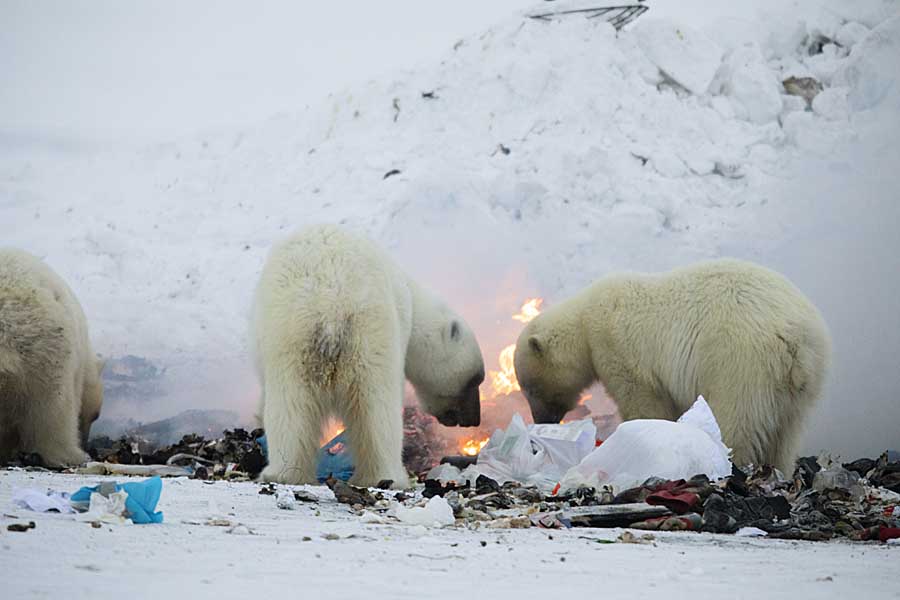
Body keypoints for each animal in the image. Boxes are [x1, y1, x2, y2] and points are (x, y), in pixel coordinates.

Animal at [250, 225, 488, 488]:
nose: (473, 419)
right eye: (475, 380)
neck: (410, 295)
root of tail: (330, 308)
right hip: (361, 335)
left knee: (294, 404)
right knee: (375, 408)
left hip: (299, 341)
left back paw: (287, 473)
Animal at [512, 260, 828, 472]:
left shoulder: (617, 347)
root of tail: (796, 339)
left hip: (740, 360)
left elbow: (644, 402)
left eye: (530, 388)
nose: (542, 419)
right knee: (786, 433)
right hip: (800, 384)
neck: (584, 321)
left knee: (735, 417)